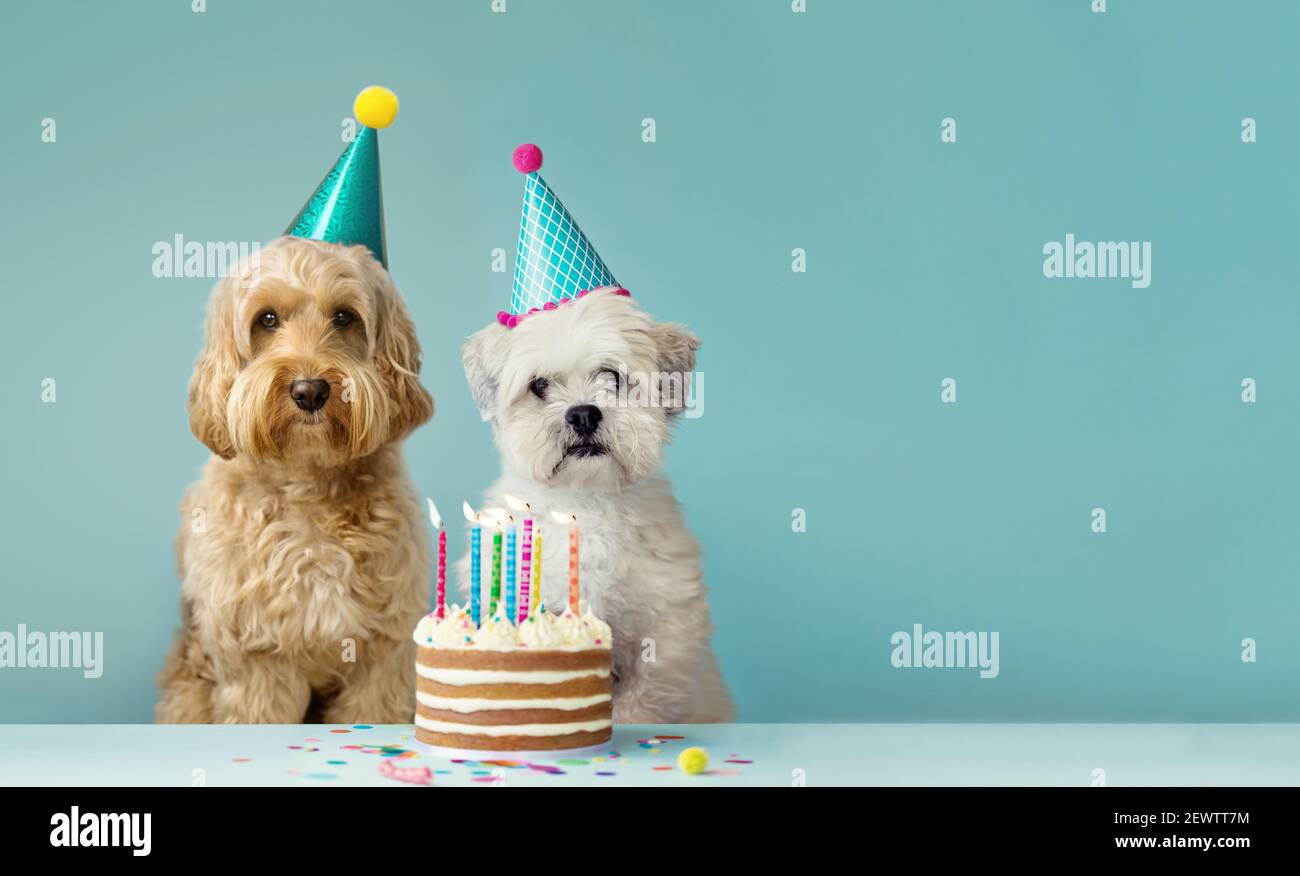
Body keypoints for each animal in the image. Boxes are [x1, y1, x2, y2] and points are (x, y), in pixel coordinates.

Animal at [156, 235, 431, 717]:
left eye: (344, 316)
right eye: (267, 319)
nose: (310, 391)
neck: (308, 481)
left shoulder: (384, 659)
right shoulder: (256, 660)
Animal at [462, 283, 738, 717]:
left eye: (613, 377)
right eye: (538, 385)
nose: (583, 414)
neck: (585, 501)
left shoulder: (667, 629)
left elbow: (644, 697)